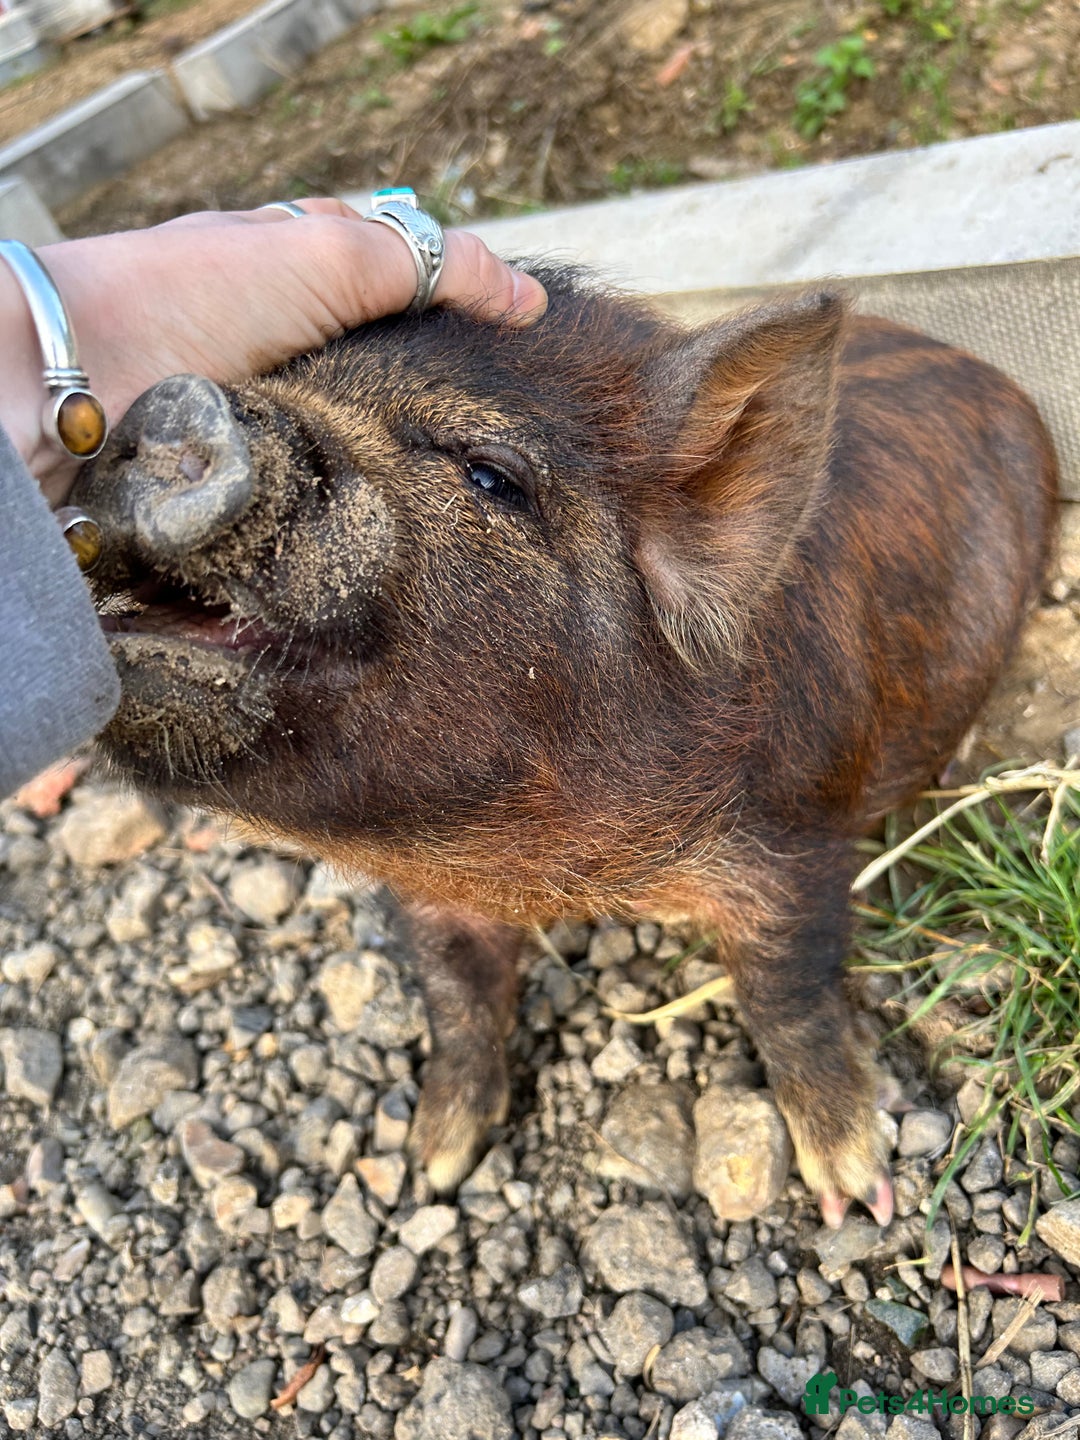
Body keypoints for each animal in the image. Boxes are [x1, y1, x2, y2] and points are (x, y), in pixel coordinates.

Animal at [72, 266, 1057, 1227]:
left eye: (489, 475)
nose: (169, 404)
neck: (543, 874)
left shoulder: (796, 830)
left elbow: (788, 987)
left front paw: (860, 1196)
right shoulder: (431, 898)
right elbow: (453, 992)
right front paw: (432, 1167)